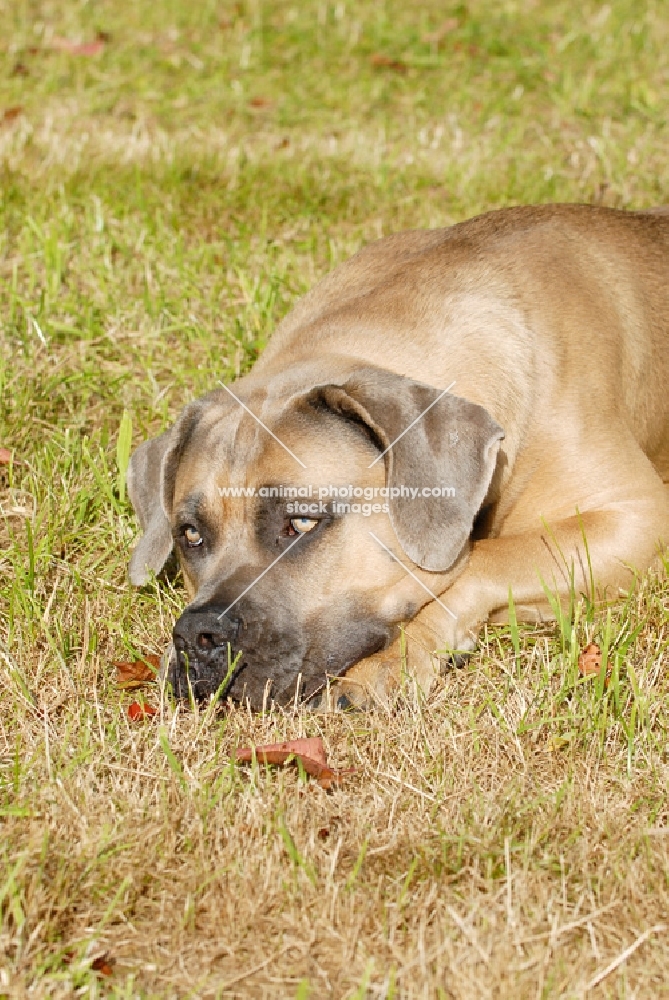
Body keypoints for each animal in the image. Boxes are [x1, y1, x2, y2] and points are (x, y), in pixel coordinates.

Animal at [125, 203, 668, 708]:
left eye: (301, 522)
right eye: (189, 534)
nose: (196, 636)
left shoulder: (636, 516)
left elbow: (484, 560)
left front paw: (395, 656)